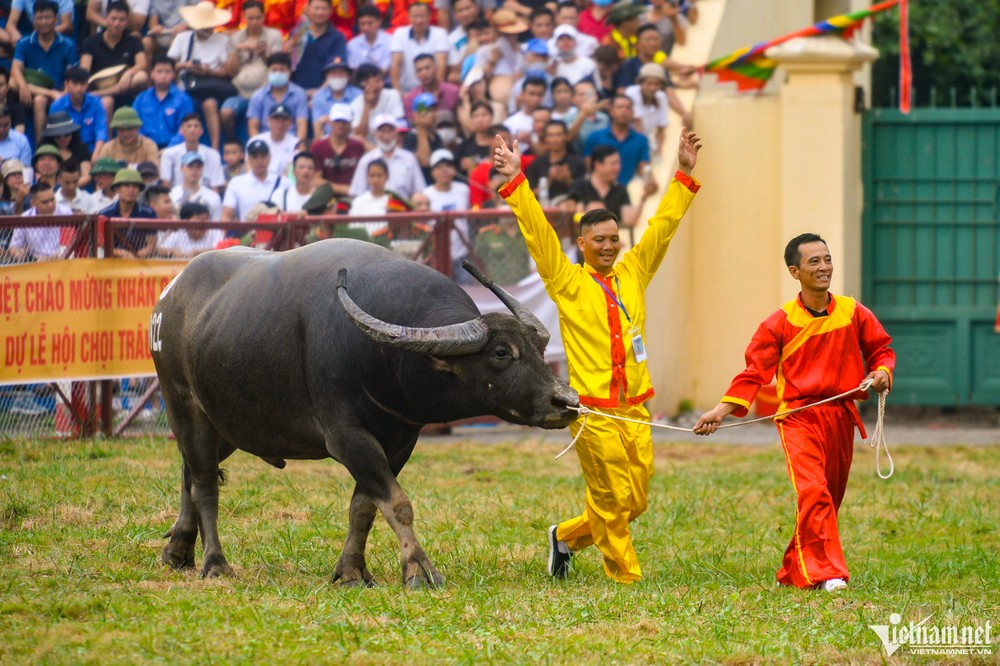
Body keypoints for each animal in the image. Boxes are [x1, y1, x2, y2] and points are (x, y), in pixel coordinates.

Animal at [152, 239, 584, 588]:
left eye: (540, 348)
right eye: (501, 353)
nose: (565, 400)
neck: (384, 359)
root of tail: (170, 294)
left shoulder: (399, 442)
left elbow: (364, 508)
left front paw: (352, 572)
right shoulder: (347, 437)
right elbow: (398, 503)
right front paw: (419, 570)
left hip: (225, 426)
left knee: (190, 473)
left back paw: (178, 551)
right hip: (183, 405)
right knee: (205, 484)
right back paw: (214, 563)